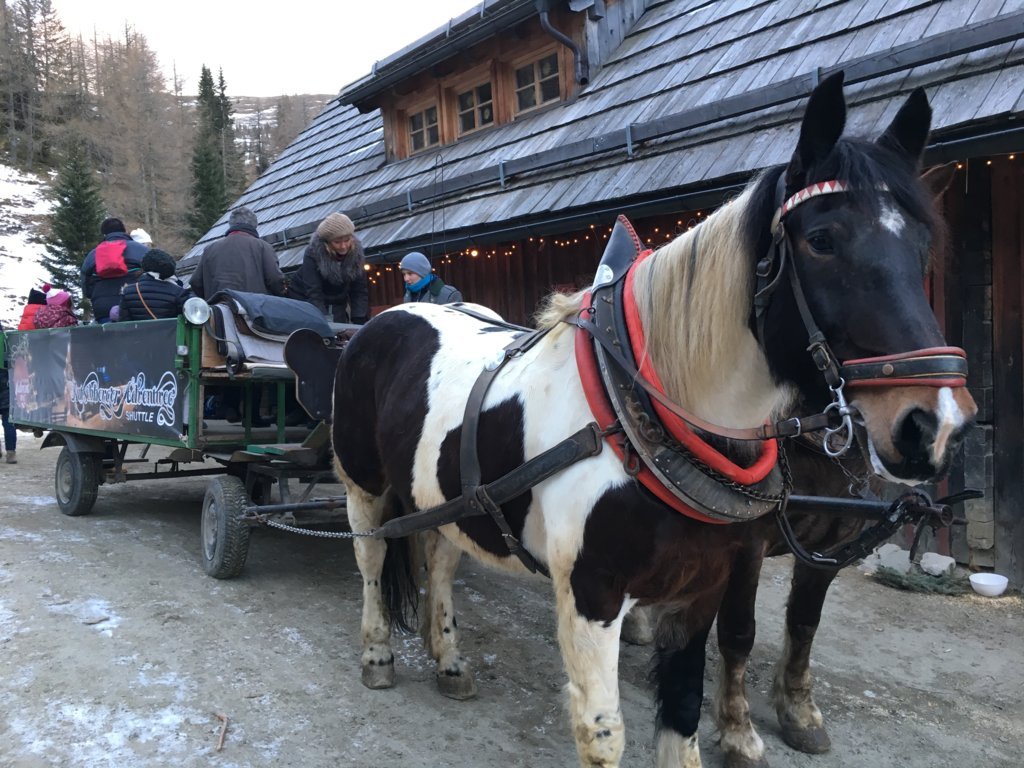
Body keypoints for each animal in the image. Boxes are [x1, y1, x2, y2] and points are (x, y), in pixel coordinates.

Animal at [329, 73, 974, 768]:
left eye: (923, 246)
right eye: (821, 240)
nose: (936, 424)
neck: (636, 425)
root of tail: (386, 318)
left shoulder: (704, 588)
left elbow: (687, 707)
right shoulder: (592, 598)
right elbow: (604, 732)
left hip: (447, 500)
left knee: (442, 560)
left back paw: (449, 661)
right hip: (363, 489)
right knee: (371, 562)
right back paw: (378, 653)